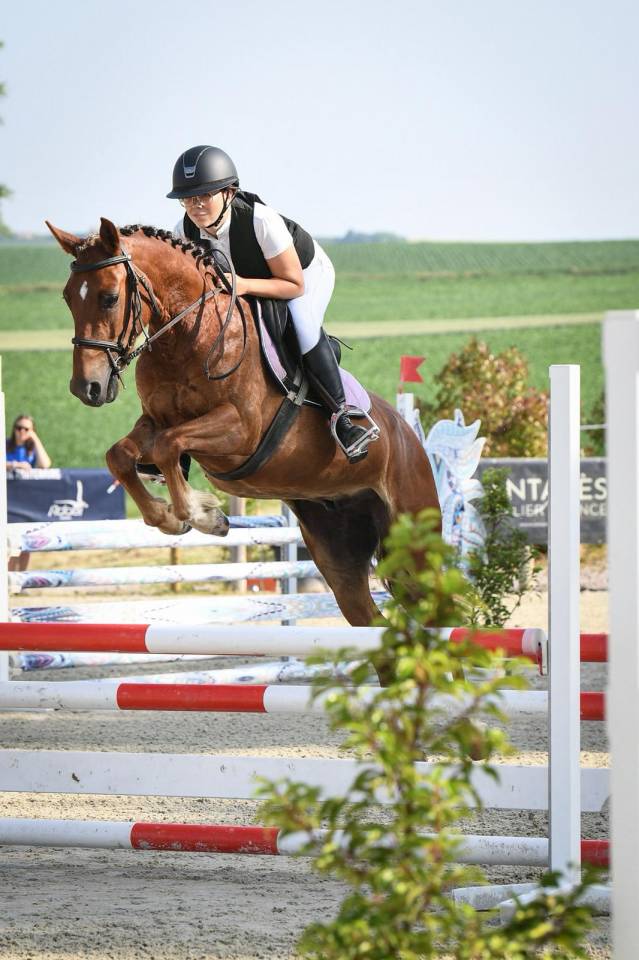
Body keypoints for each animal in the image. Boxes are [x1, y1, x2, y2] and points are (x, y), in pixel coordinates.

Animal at [47, 217, 440, 628]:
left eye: (109, 297)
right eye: (68, 297)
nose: (86, 388)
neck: (187, 335)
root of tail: (410, 436)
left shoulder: (240, 430)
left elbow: (170, 445)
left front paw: (203, 515)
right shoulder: (156, 420)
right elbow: (121, 455)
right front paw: (172, 518)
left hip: (413, 537)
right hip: (336, 545)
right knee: (368, 617)